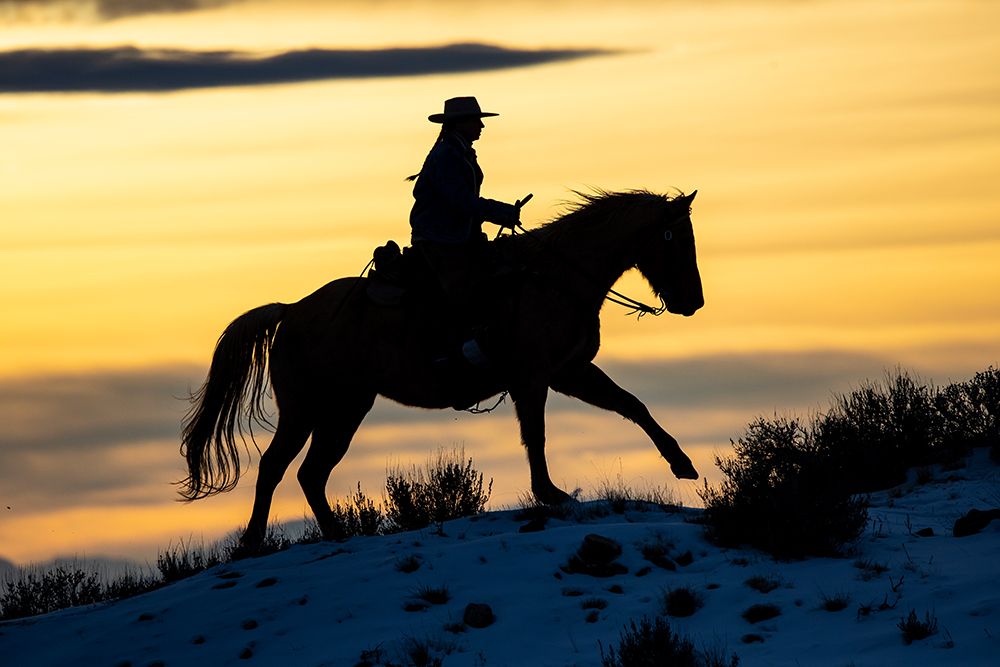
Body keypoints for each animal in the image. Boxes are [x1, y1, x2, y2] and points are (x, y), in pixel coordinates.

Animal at [180, 189, 704, 552]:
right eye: (675, 239)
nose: (693, 302)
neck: (555, 279)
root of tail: (291, 311)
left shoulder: (570, 372)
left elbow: (633, 405)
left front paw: (682, 464)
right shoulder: (534, 377)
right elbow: (536, 435)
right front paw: (551, 493)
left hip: (346, 409)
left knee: (311, 473)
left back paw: (337, 535)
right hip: (305, 408)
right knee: (274, 467)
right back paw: (252, 543)